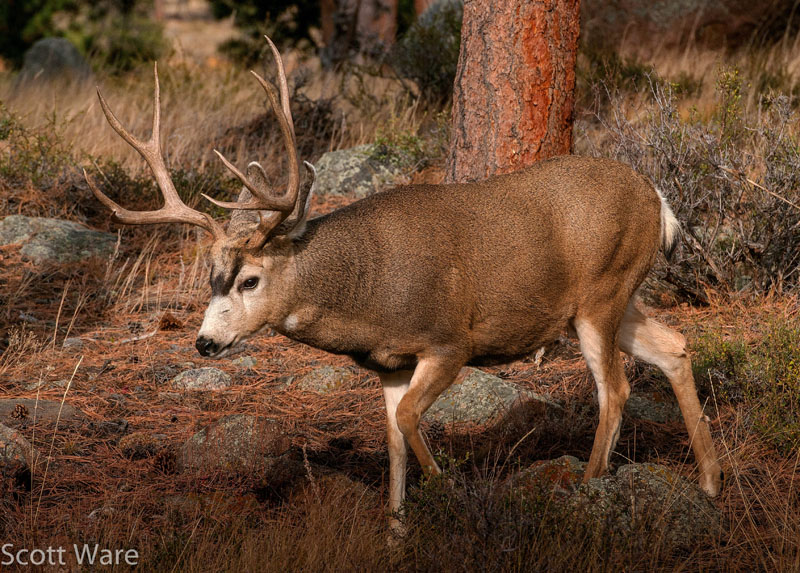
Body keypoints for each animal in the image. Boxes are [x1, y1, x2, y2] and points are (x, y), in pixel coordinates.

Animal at [84, 37, 723, 533]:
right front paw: (396, 530)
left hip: (600, 295)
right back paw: (711, 484)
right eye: (210, 278)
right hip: (616, 298)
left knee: (614, 389)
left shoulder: (449, 341)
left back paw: (590, 490)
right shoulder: (387, 365)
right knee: (674, 348)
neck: (368, 294)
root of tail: (656, 197)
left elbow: (414, 420)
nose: (205, 343)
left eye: (249, 279)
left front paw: (451, 496)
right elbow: (392, 437)